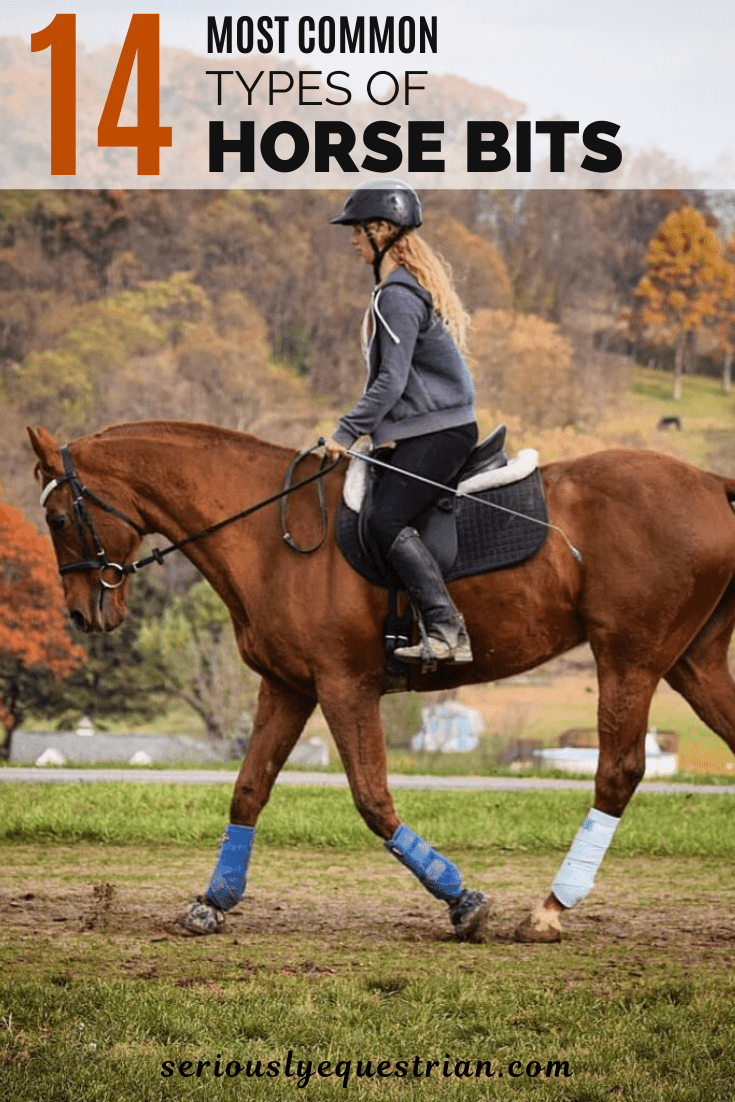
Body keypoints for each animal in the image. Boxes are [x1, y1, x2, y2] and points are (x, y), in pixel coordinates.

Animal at [27, 421, 735, 943]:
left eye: (58, 519)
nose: (83, 615)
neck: (271, 533)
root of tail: (710, 482)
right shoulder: (288, 687)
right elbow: (248, 791)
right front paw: (214, 900)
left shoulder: (344, 687)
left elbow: (372, 800)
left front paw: (462, 901)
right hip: (692, 663)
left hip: (629, 659)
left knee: (617, 771)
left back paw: (550, 910)